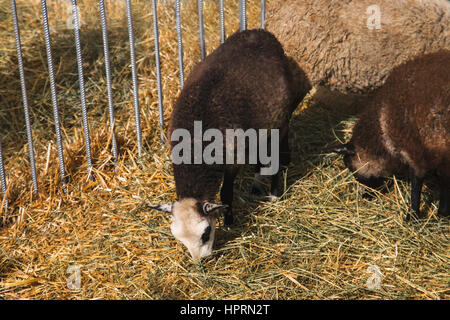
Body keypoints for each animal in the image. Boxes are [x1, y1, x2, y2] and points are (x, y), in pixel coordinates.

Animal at [149, 28, 312, 262]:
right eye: (179, 238)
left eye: (206, 233)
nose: (201, 262)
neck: (195, 144)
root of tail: (261, 33)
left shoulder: (233, 159)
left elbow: (226, 193)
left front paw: (229, 220)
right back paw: (256, 184)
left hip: (279, 122)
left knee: (277, 154)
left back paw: (274, 192)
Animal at [328, 50, 448, 220]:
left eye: (350, 166)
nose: (366, 196)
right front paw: (442, 213)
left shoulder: (416, 151)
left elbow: (417, 183)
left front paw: (413, 215)